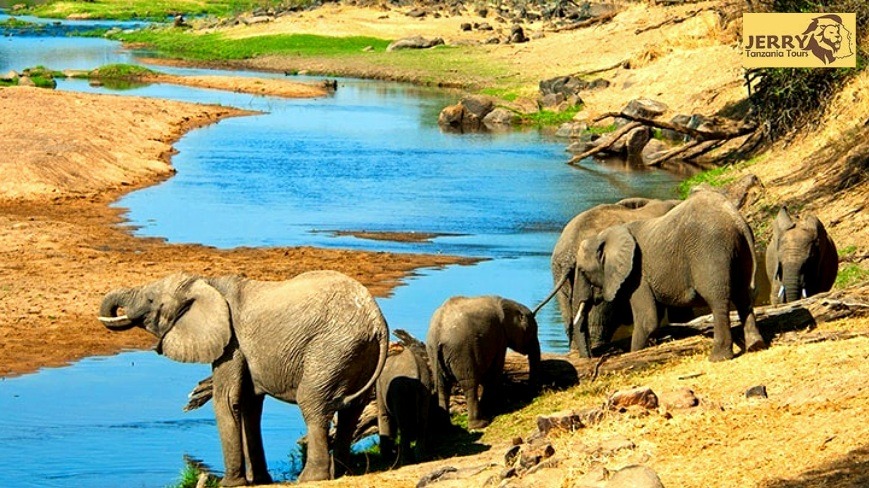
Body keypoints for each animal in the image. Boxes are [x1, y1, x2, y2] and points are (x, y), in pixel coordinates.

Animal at [96, 268, 390, 486]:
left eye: (150, 301)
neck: (208, 284)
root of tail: (377, 321)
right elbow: (249, 404)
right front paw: (259, 480)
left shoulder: (231, 342)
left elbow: (227, 400)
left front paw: (230, 484)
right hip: (356, 353)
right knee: (351, 410)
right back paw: (342, 472)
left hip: (331, 349)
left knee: (313, 404)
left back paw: (310, 478)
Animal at [376, 332, 438, 466]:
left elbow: (384, 415)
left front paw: (387, 458)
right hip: (425, 385)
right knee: (423, 419)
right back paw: (421, 458)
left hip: (400, 391)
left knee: (404, 423)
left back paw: (404, 461)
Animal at [426, 296, 540, 428]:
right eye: (532, 332)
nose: (531, 395)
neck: (507, 302)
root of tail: (437, 335)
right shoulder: (500, 337)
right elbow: (494, 371)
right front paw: (492, 410)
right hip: (461, 351)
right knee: (469, 384)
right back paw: (480, 424)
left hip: (433, 353)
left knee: (442, 386)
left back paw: (446, 426)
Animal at [568, 191, 768, 362]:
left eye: (583, 271)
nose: (591, 357)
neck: (607, 234)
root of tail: (735, 218)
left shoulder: (637, 276)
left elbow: (647, 320)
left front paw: (634, 354)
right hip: (740, 251)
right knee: (743, 296)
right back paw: (756, 346)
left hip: (710, 251)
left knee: (718, 299)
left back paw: (718, 358)